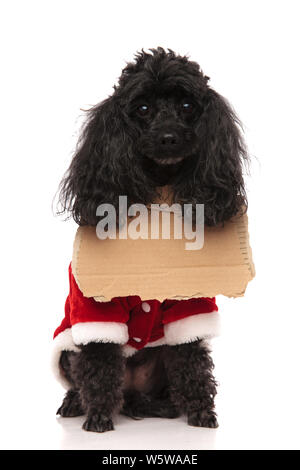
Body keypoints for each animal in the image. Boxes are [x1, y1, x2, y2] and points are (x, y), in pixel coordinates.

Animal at [55, 47, 247, 434]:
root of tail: (132, 391)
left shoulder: (190, 303)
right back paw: (75, 403)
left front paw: (201, 412)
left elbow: (192, 362)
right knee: (81, 375)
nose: (169, 137)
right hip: (68, 351)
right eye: (142, 108)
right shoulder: (94, 306)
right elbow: (99, 363)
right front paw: (98, 416)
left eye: (187, 105)